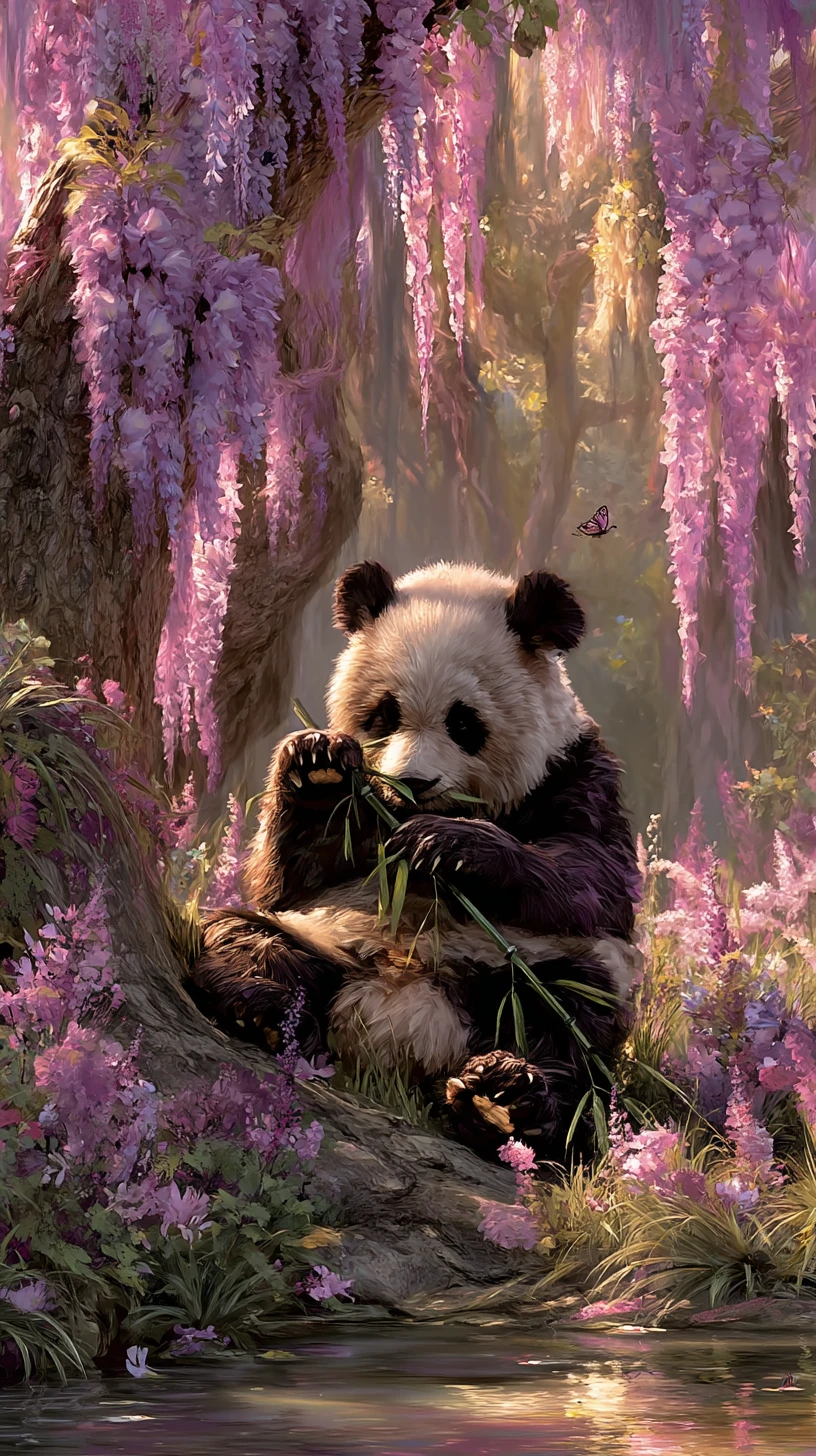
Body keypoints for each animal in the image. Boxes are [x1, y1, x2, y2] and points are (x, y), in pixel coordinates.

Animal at [189, 560, 640, 1164]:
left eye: (464, 722)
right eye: (385, 713)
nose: (413, 783)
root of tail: (398, 1031)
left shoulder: (575, 772)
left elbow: (596, 882)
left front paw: (450, 846)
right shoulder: (348, 846)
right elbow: (288, 879)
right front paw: (318, 764)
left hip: (523, 978)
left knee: (566, 1029)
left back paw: (502, 1099)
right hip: (324, 940)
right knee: (244, 935)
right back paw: (261, 1008)